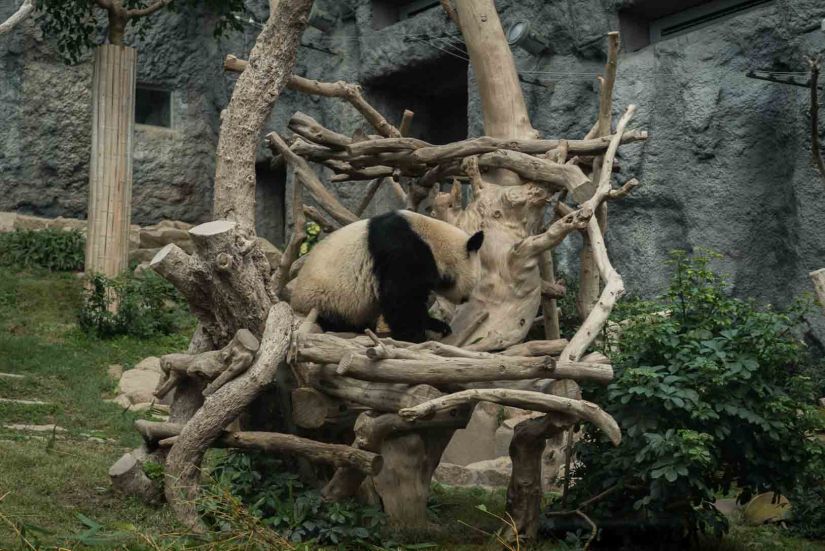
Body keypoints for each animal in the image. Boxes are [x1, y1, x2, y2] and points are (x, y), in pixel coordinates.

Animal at [290, 210, 484, 343]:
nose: (465, 299)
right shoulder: (403, 251)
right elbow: (401, 298)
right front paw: (415, 336)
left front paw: (438, 326)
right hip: (325, 300)